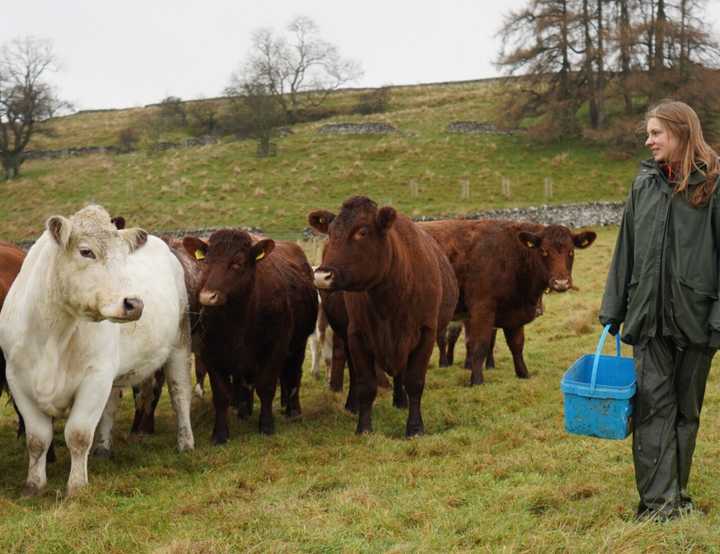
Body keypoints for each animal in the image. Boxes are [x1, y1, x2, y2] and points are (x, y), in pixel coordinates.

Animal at [0, 205, 194, 496]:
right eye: (86, 251)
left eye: (123, 255)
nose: (134, 303)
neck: (53, 336)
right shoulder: (18, 381)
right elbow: (37, 439)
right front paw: (33, 485)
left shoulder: (95, 376)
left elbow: (78, 434)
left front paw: (77, 487)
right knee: (111, 404)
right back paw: (103, 448)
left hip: (179, 344)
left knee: (180, 394)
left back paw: (186, 443)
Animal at [182, 229, 318, 445]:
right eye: (206, 262)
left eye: (238, 263)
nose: (207, 297)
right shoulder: (211, 353)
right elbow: (221, 394)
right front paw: (220, 434)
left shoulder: (275, 349)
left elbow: (266, 387)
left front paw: (267, 425)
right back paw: (245, 411)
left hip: (298, 344)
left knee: (293, 374)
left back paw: (293, 410)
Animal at [309, 196, 459, 436]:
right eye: (330, 232)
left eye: (362, 232)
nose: (323, 276)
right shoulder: (357, 335)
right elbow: (366, 384)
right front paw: (364, 427)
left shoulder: (426, 332)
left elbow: (414, 381)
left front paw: (415, 427)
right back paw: (352, 405)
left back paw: (401, 401)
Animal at [419, 219, 596, 385]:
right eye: (544, 251)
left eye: (571, 251)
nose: (561, 283)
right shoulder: (482, 309)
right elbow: (480, 345)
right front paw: (476, 380)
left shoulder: (514, 313)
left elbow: (516, 345)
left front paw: (523, 374)